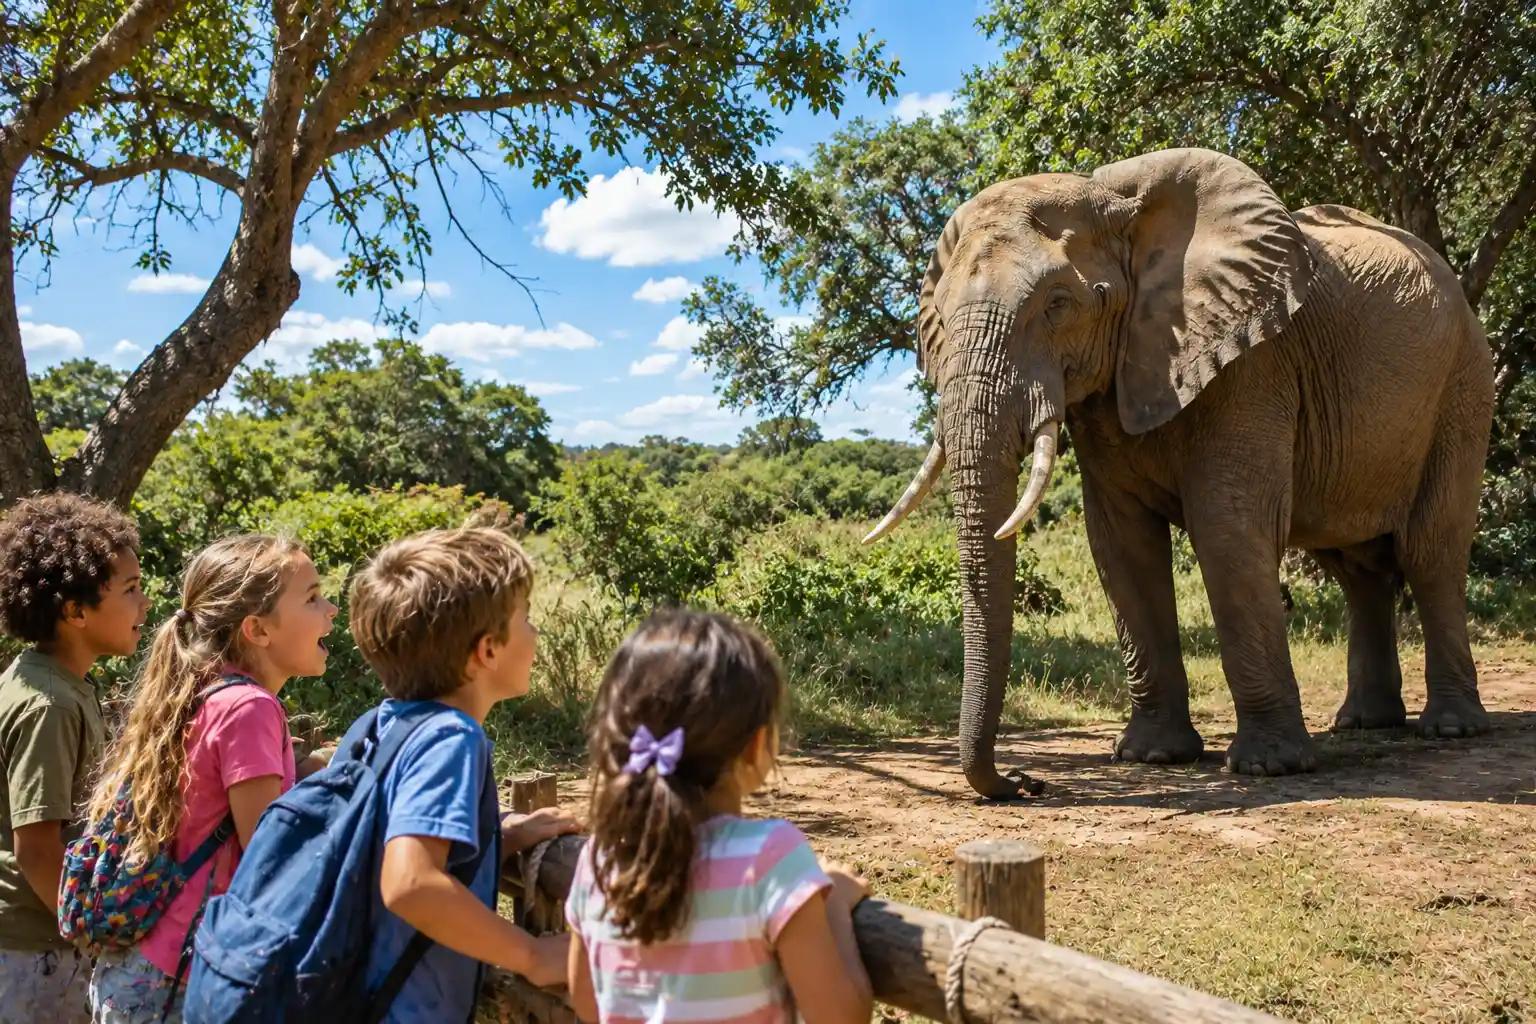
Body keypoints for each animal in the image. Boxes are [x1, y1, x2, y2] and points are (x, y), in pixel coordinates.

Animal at [864, 147, 1495, 800]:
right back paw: (1365, 723)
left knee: (1430, 551)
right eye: (938, 318)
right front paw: (1153, 757)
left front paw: (1269, 767)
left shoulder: (1252, 362)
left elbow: (1227, 530)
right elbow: (1123, 547)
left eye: (1060, 304)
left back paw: (1451, 729)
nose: (1025, 781)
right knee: (1356, 568)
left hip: (1464, 385)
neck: (1114, 200)